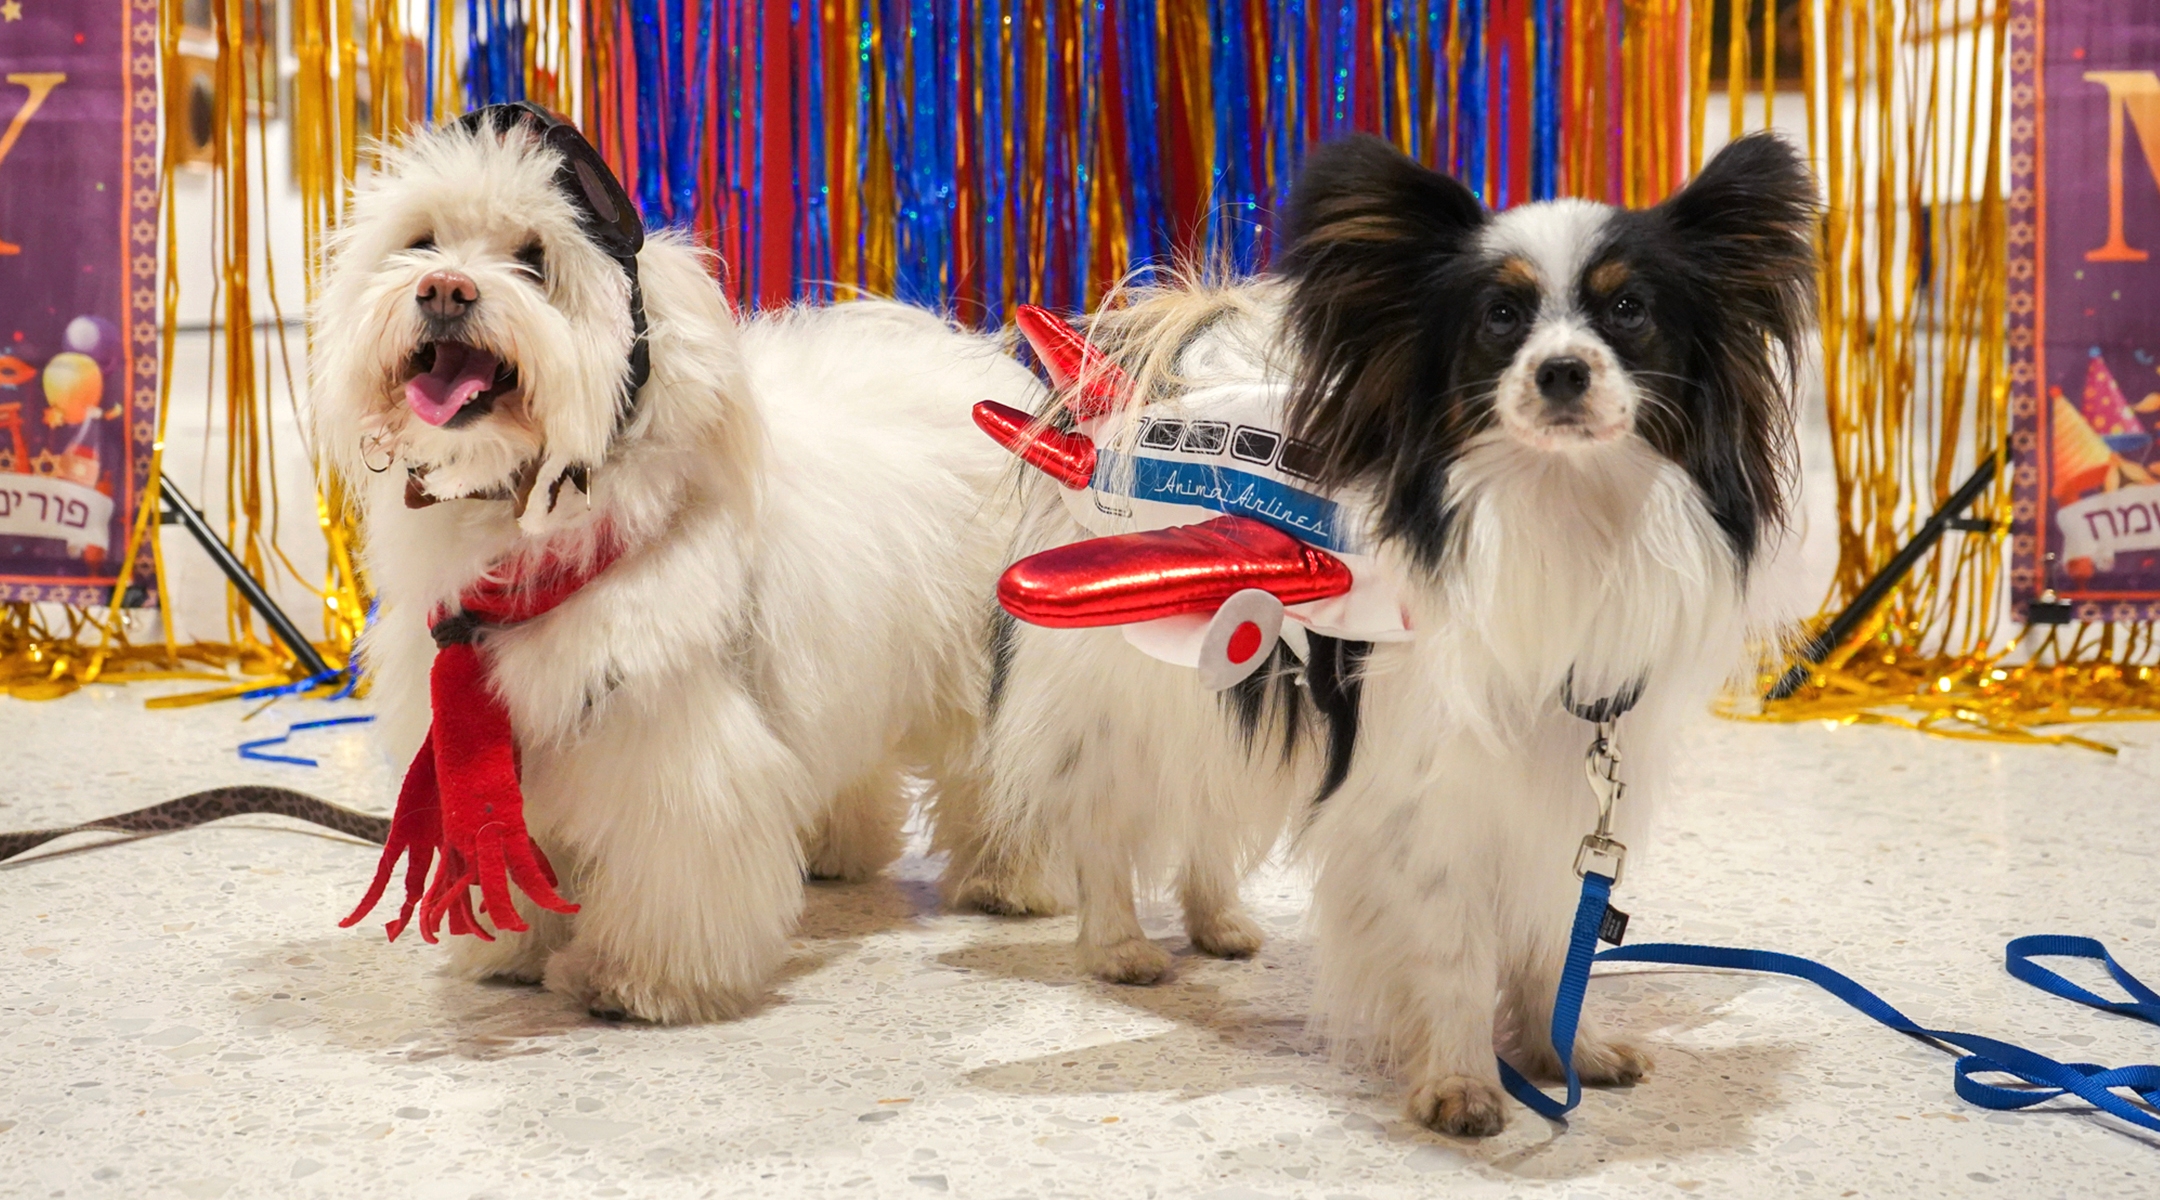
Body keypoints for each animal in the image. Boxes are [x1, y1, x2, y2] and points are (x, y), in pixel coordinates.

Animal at [311, 110, 1036, 1023]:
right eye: (422, 242)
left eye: (533, 260)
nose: (444, 290)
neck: (527, 525)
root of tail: (973, 362)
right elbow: (517, 842)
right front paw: (516, 950)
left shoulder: (671, 746)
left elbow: (672, 865)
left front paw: (638, 980)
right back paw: (836, 848)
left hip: (986, 662)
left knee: (1003, 769)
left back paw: (1010, 876)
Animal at [989, 131, 1814, 1130]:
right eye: (1500, 316)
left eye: (1630, 310)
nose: (1562, 371)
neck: (1558, 511)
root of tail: (1122, 415)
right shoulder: (1432, 802)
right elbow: (1454, 951)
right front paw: (1461, 1084)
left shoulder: (1562, 788)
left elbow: (1554, 941)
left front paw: (1563, 1052)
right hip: (1128, 682)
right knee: (1107, 820)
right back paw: (1118, 945)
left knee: (1211, 800)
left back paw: (1216, 922)